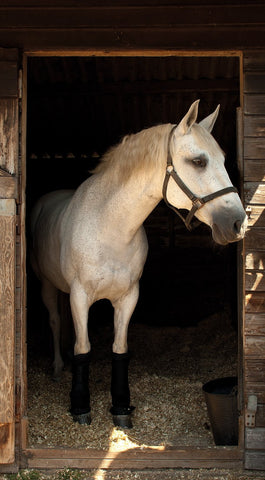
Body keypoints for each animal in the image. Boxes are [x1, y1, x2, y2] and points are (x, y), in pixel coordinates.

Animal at [29, 101, 246, 428]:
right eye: (198, 161)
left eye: (222, 159)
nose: (237, 223)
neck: (110, 228)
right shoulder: (81, 296)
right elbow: (83, 348)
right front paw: (80, 407)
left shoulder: (128, 296)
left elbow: (120, 349)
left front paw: (121, 408)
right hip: (47, 286)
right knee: (55, 322)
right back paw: (56, 367)